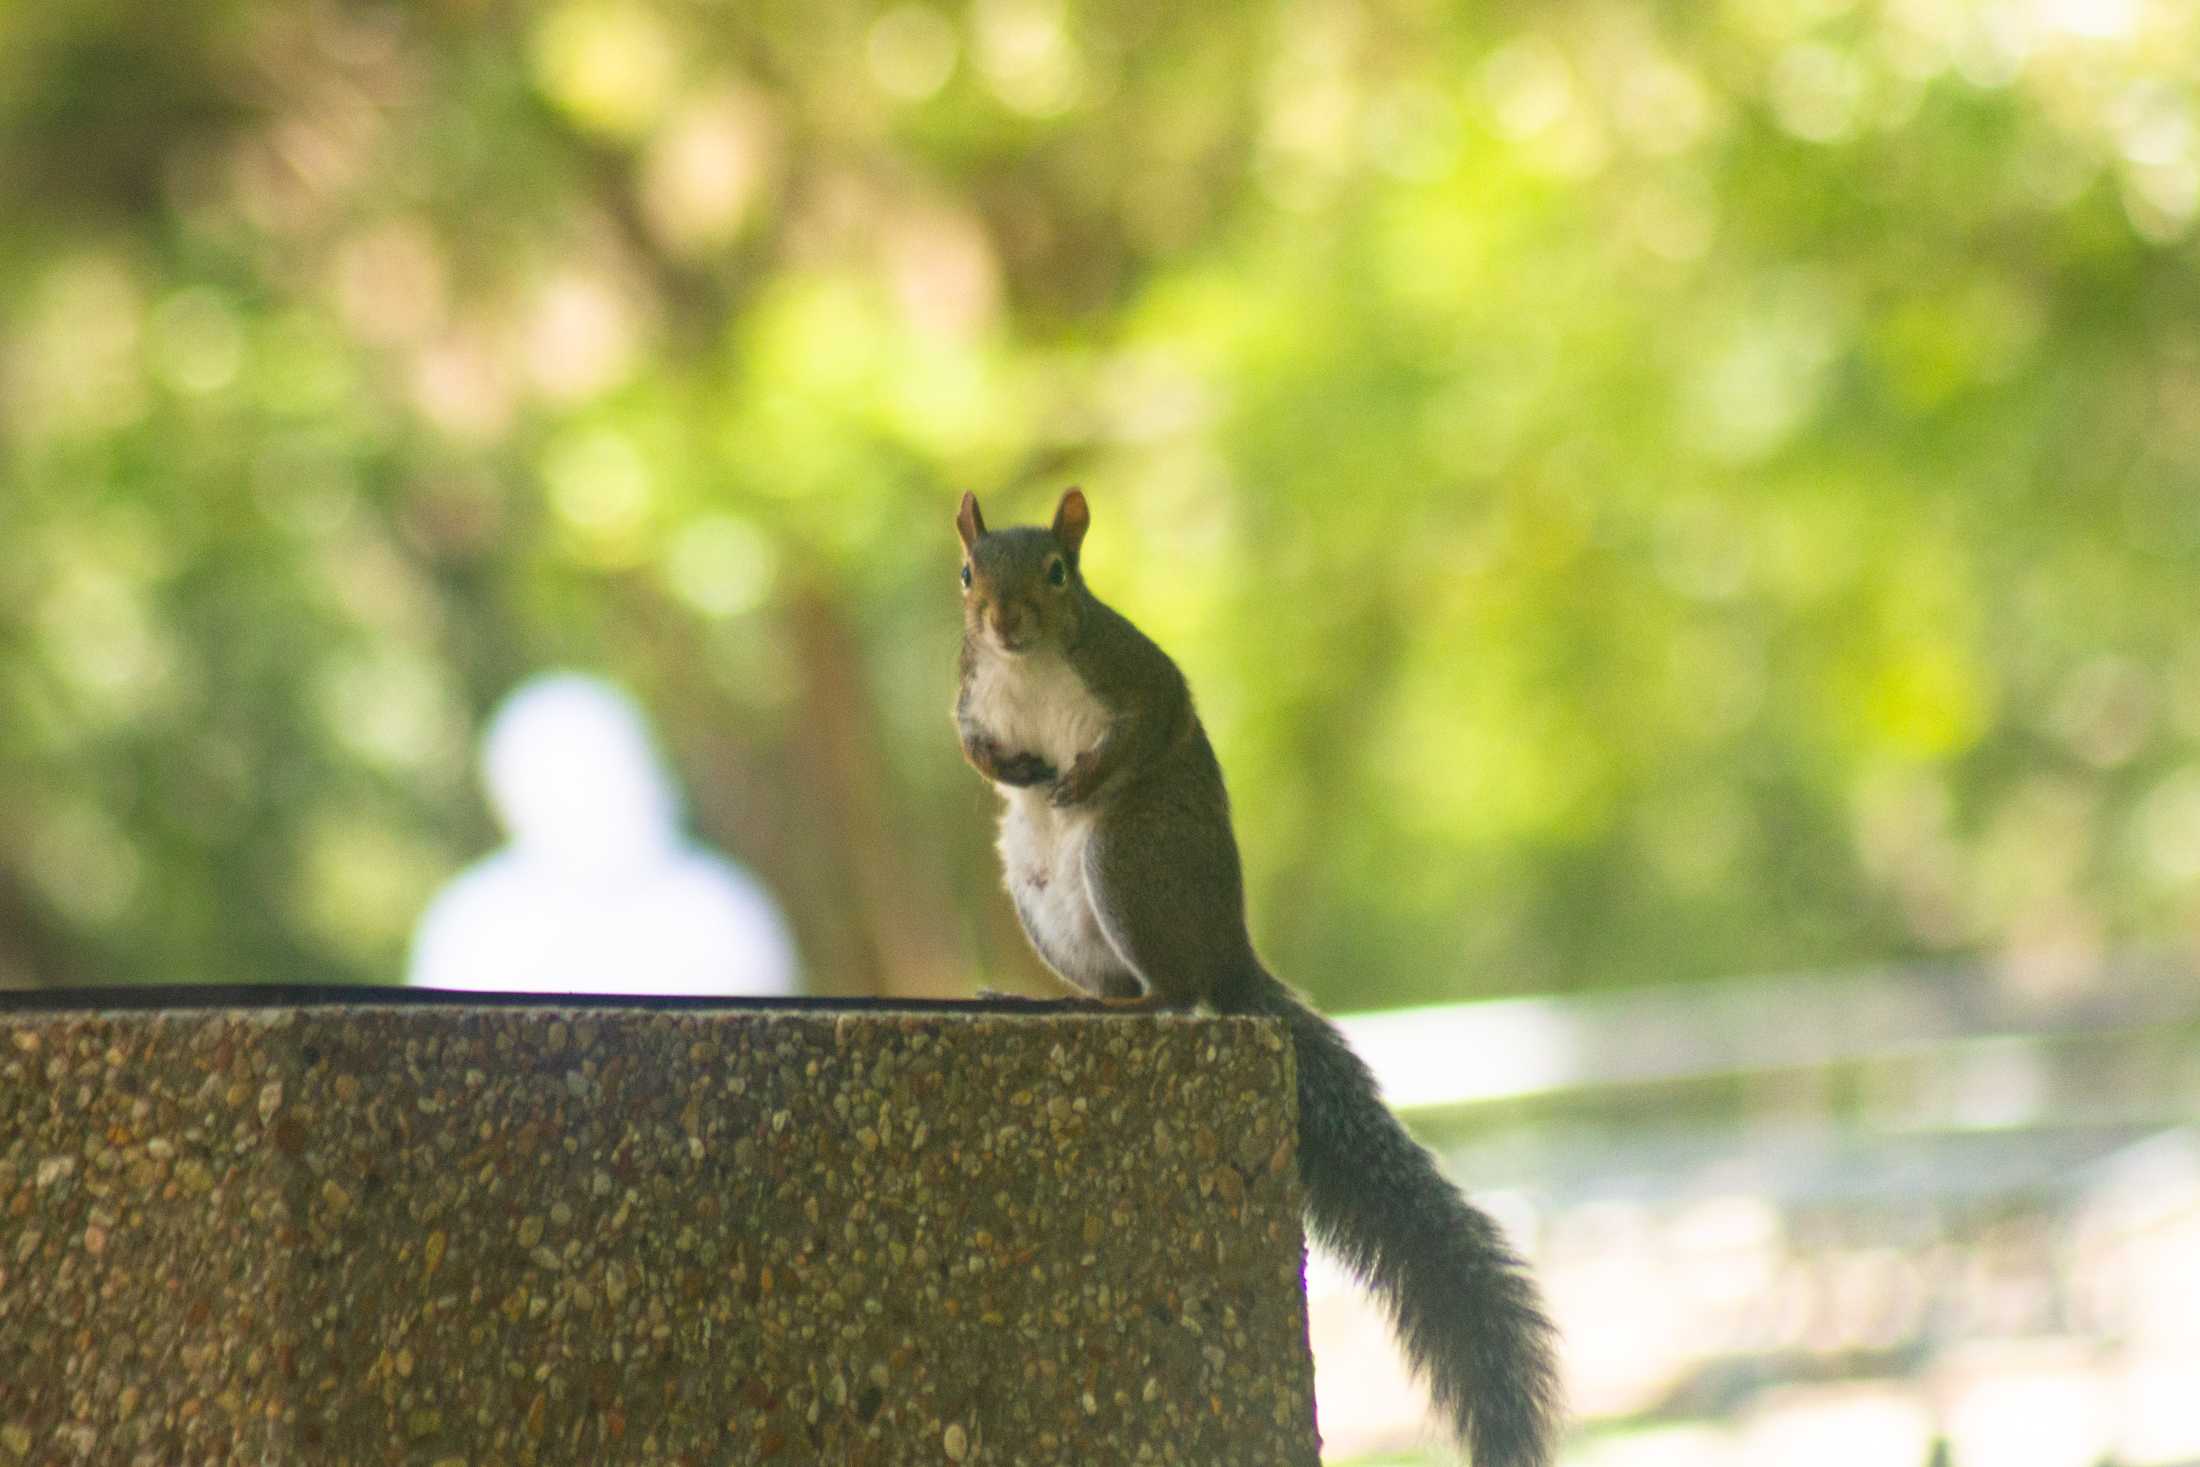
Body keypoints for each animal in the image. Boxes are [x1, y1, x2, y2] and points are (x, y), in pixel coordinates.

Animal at [954, 490, 1557, 1467]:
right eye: (969, 573)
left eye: (1058, 571)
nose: (1006, 623)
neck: (1030, 667)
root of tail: (1230, 948)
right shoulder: (971, 694)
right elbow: (969, 742)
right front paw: (1015, 767)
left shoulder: (1135, 671)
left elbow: (1151, 719)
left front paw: (1081, 773)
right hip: (1039, 888)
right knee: (1121, 988)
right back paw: (1054, 1002)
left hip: (1129, 858)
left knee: (1171, 992)